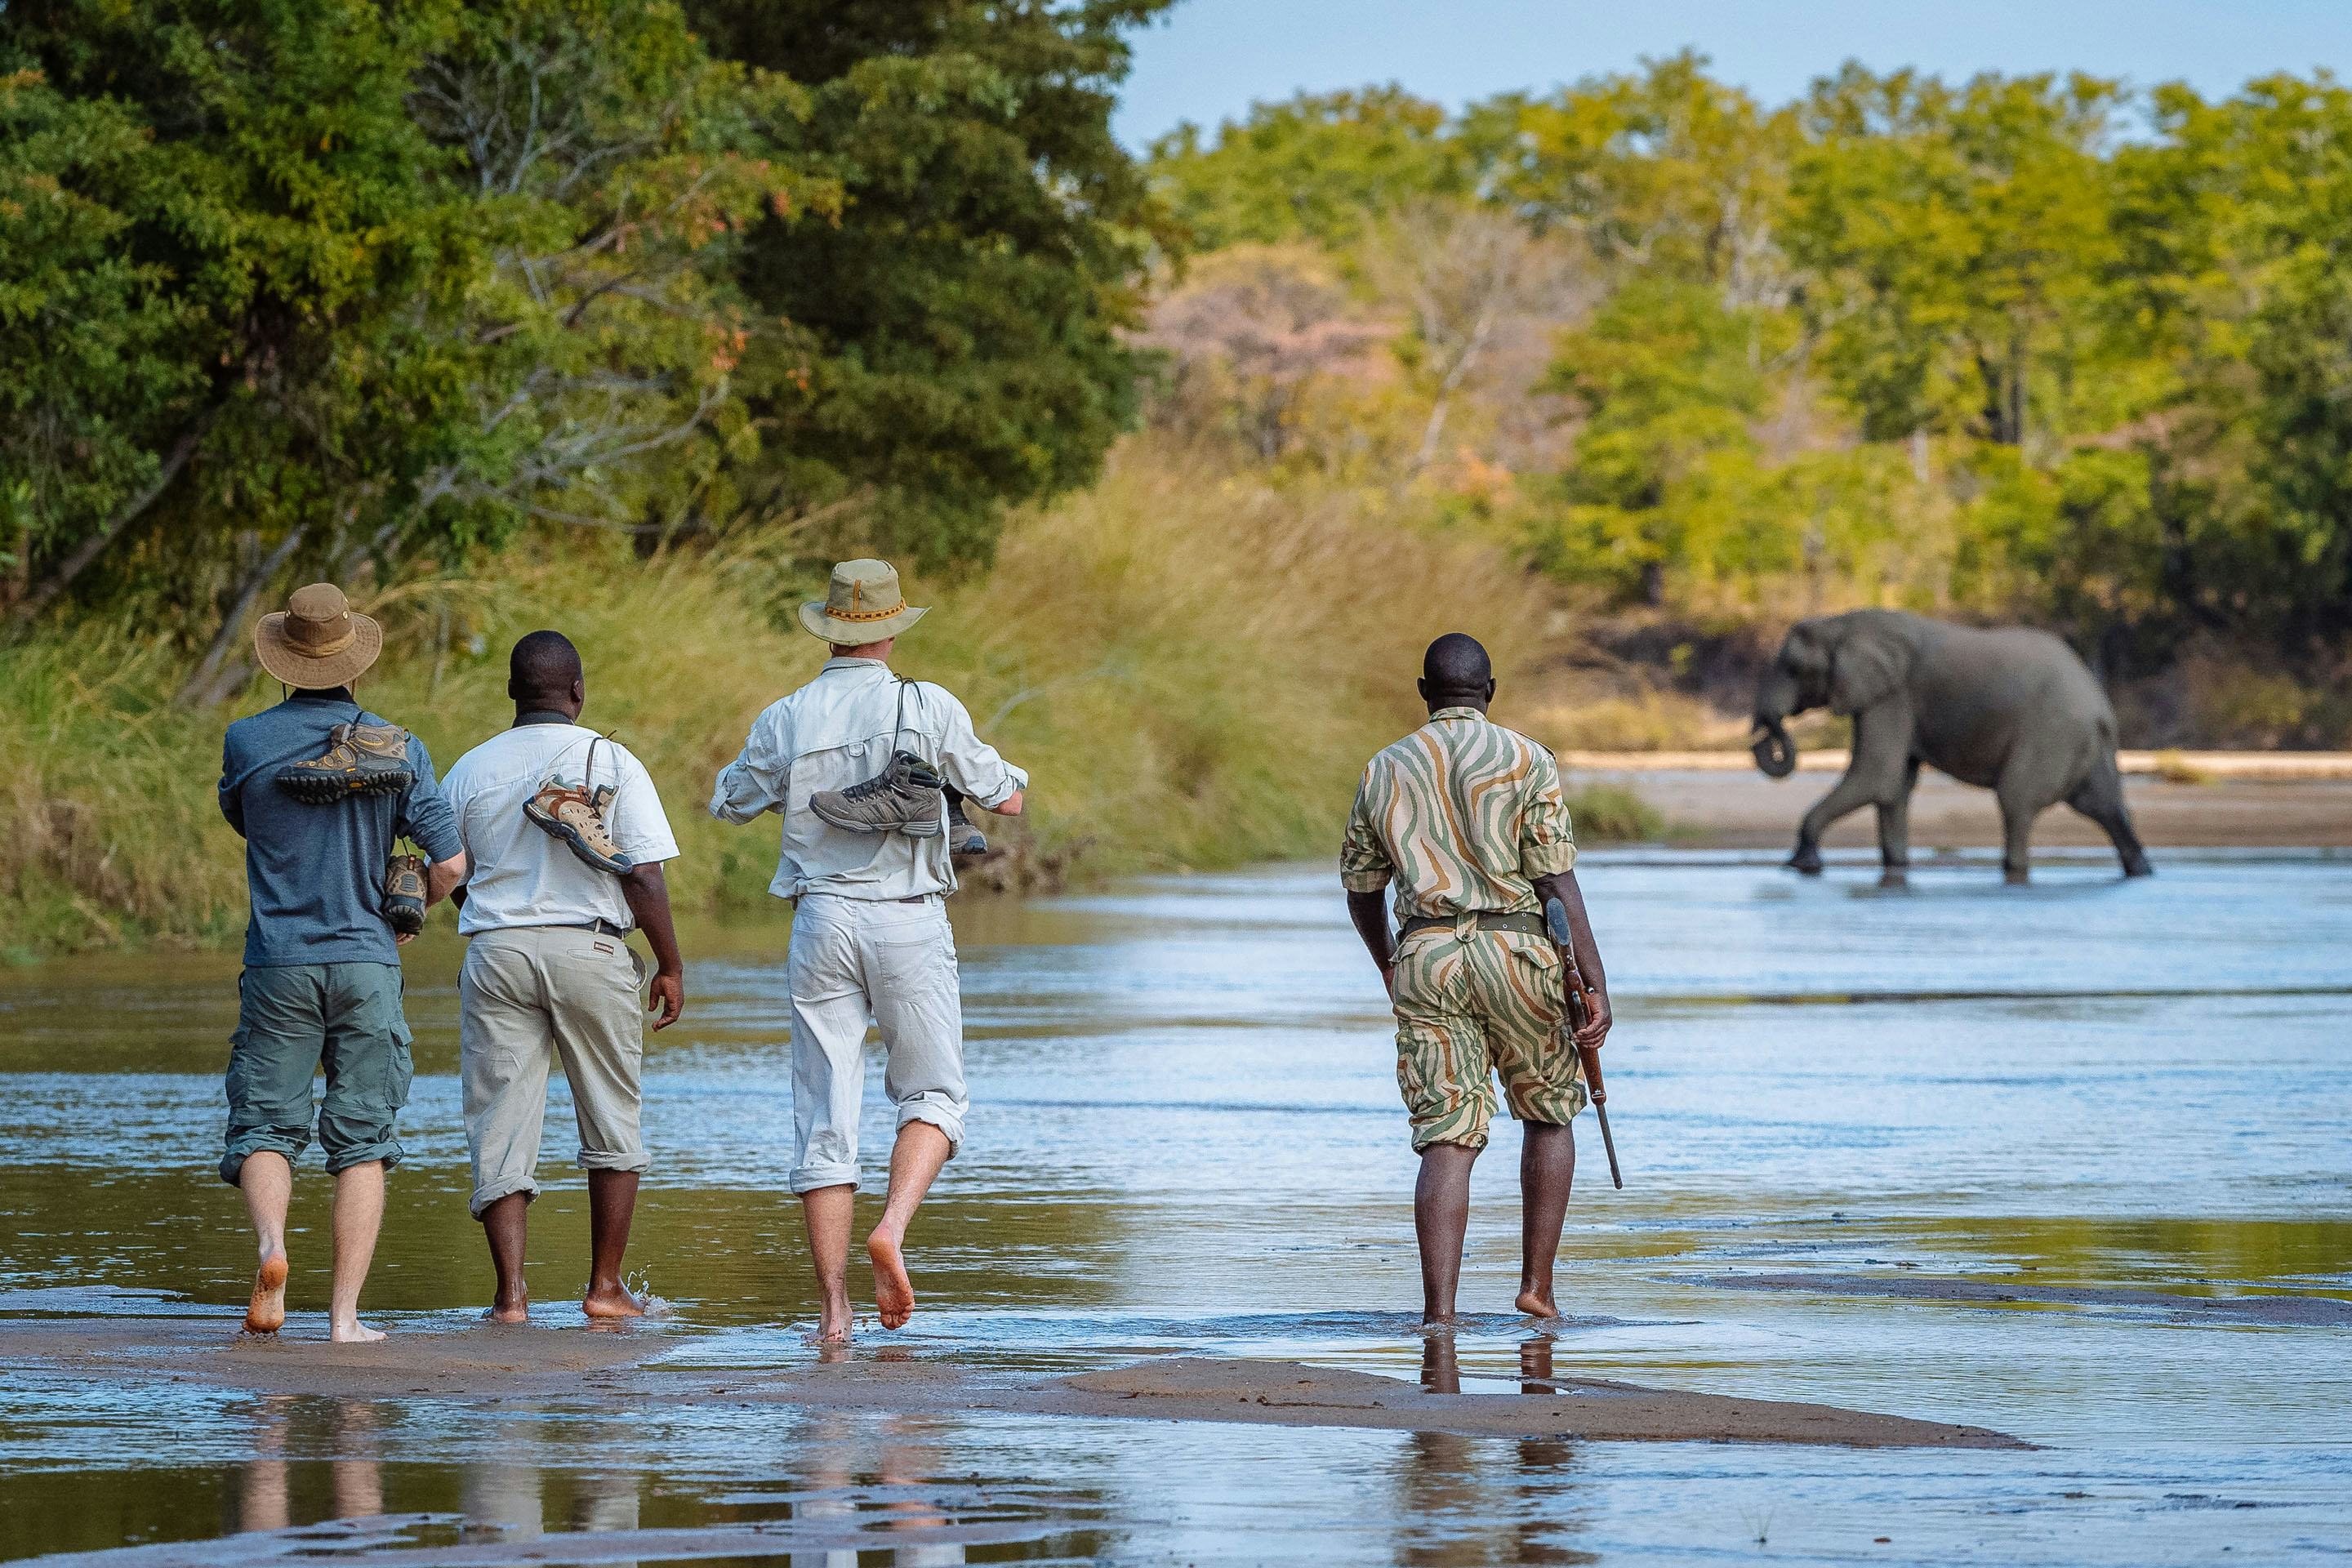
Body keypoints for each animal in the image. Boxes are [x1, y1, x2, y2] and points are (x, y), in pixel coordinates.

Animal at [1749, 611, 2154, 884]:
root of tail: (2100, 704)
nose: (1765, 735)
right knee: (2104, 805)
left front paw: (1801, 865)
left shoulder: (1892, 695)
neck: (1843, 624)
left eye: (1793, 668)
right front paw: (1896, 867)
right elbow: (1894, 787)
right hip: (2084, 742)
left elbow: (1877, 776)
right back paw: (2141, 872)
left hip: (2052, 732)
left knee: (2017, 800)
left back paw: (2014, 871)